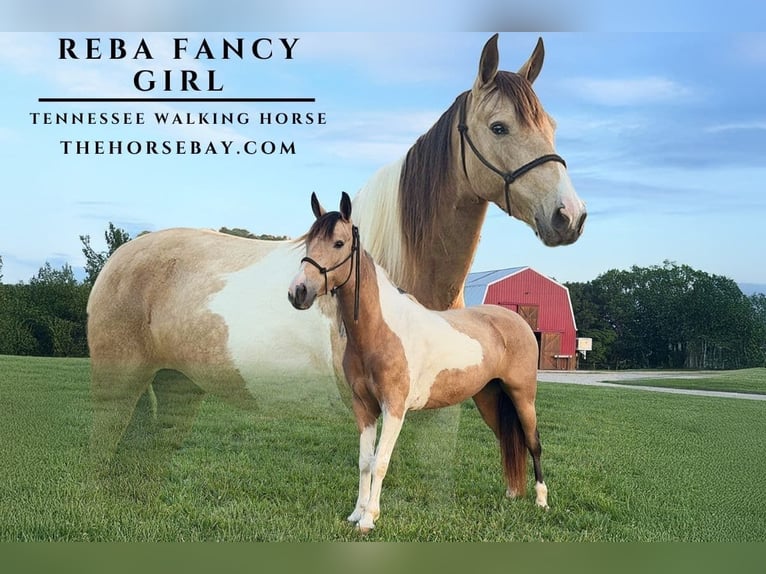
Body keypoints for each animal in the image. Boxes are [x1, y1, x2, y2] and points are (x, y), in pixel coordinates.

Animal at [87, 34, 585, 473]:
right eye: (500, 127)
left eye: (553, 127)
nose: (569, 216)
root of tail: (120, 257)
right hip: (118, 385)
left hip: (176, 382)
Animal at [289, 192, 547, 533]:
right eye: (309, 241)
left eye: (339, 243)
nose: (298, 292)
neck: (380, 331)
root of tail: (518, 321)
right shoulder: (364, 407)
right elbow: (364, 461)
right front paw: (357, 513)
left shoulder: (394, 408)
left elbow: (380, 462)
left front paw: (369, 519)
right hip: (489, 398)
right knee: (506, 439)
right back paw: (512, 493)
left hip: (522, 396)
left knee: (532, 442)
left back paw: (541, 500)